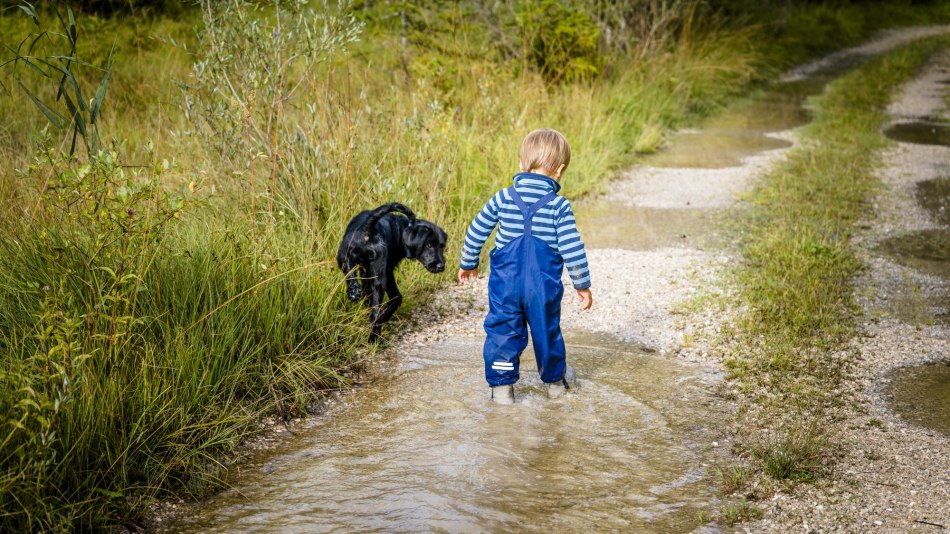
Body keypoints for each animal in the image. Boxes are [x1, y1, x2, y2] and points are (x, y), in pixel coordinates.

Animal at [338, 203, 450, 342]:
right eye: (429, 245)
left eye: (442, 246)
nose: (441, 266)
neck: (401, 229)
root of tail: (367, 228)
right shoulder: (388, 270)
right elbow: (397, 297)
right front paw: (385, 316)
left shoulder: (366, 271)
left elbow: (368, 293)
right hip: (380, 277)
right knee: (376, 312)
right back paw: (374, 339)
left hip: (343, 257)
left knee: (351, 277)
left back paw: (353, 292)